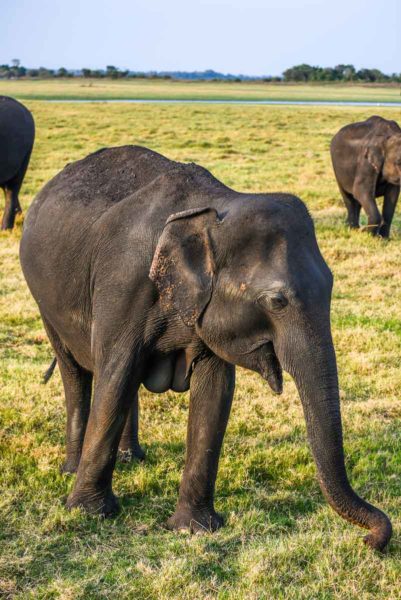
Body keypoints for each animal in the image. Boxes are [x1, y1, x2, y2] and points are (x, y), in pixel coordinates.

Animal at [19, 144, 390, 548]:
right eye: (277, 301)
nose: (371, 540)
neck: (216, 207)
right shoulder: (122, 286)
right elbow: (115, 378)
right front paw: (89, 513)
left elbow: (215, 392)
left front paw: (194, 528)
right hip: (45, 302)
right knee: (77, 372)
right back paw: (72, 470)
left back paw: (132, 458)